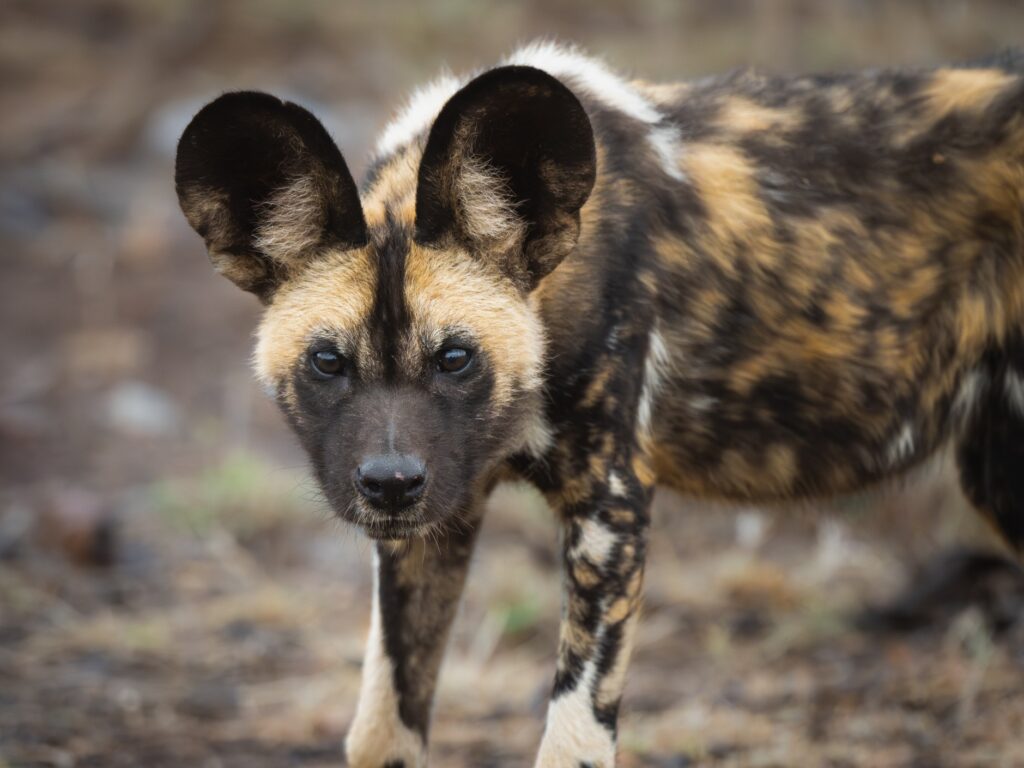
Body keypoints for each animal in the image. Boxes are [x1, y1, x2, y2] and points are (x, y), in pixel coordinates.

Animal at [176, 43, 1024, 768]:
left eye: (456, 358)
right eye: (328, 361)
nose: (388, 483)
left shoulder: (609, 519)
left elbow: (572, 740)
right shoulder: (433, 523)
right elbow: (384, 730)